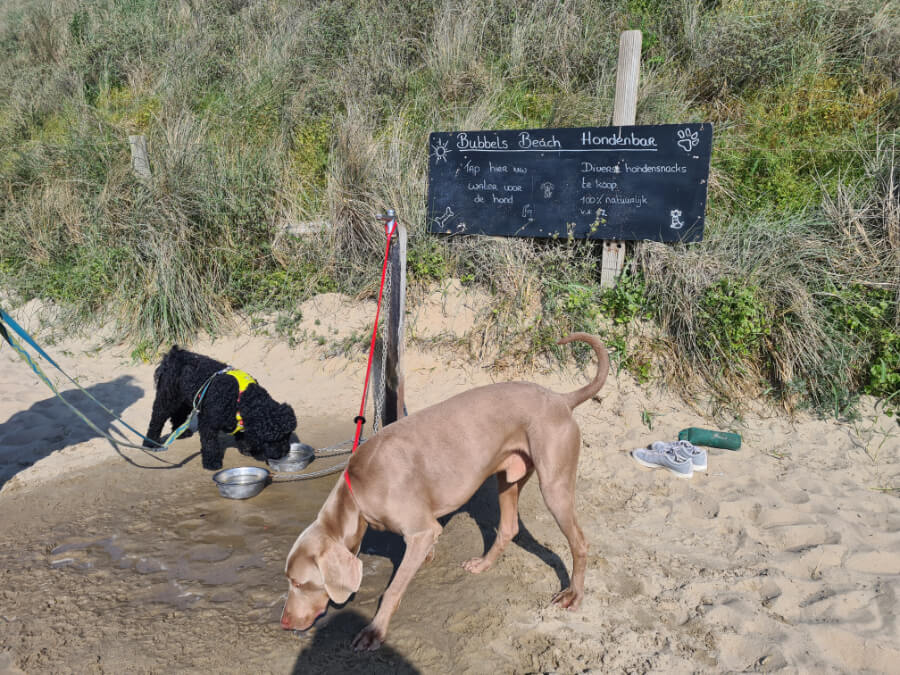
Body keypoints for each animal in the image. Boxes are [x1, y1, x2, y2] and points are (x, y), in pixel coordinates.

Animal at [144, 348, 298, 470]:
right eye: (274, 439)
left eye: (287, 436)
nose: (284, 452)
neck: (241, 397)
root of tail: (173, 355)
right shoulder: (208, 423)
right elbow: (210, 444)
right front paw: (212, 463)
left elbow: (243, 436)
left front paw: (247, 449)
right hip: (167, 399)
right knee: (156, 419)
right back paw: (150, 442)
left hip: (185, 399)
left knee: (178, 415)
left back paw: (182, 433)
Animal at [278, 332, 608, 648]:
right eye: (290, 581)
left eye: (300, 583)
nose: (284, 623)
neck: (357, 489)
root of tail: (561, 399)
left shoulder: (421, 531)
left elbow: (393, 588)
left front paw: (374, 632)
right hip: (509, 475)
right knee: (508, 527)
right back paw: (483, 564)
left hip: (554, 483)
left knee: (579, 541)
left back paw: (573, 595)